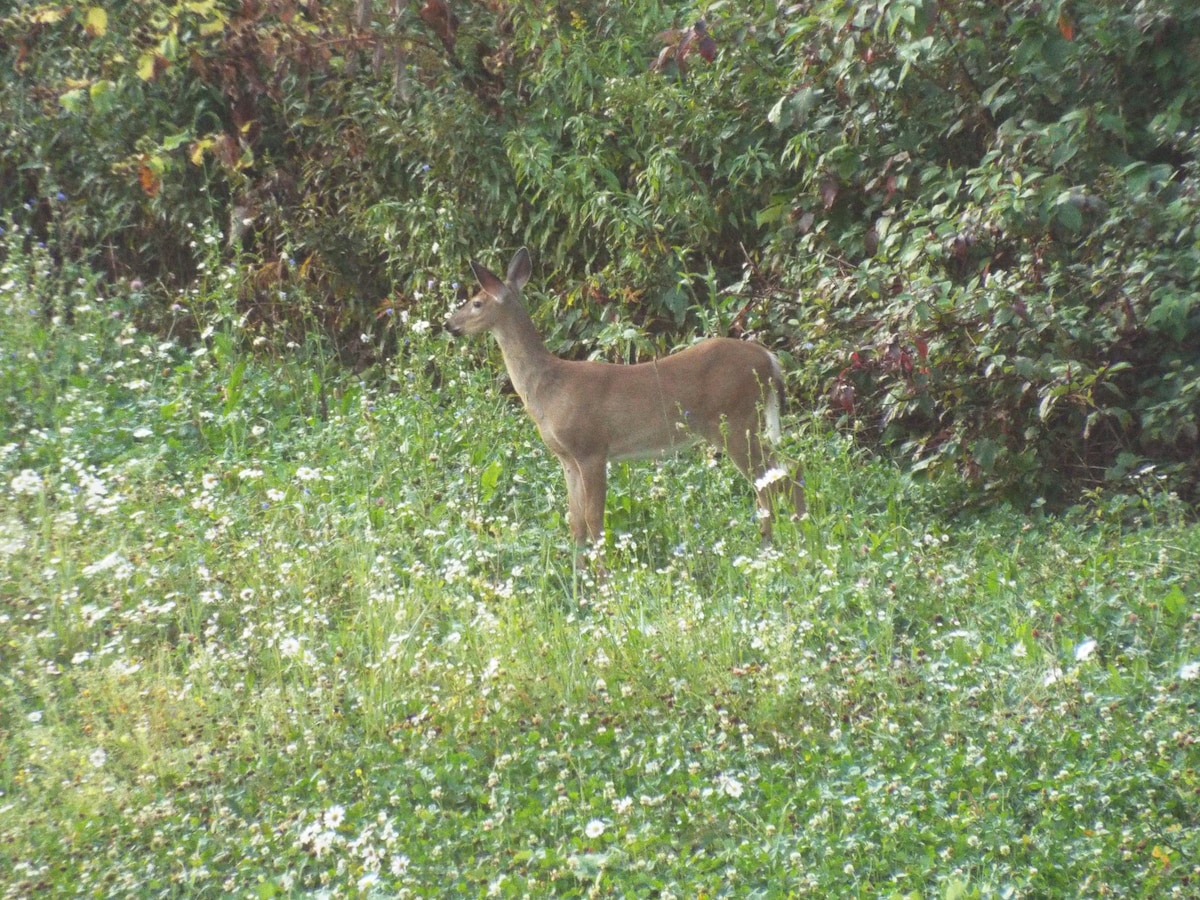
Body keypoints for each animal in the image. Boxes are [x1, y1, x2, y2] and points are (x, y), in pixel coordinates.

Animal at [448, 247, 806, 556]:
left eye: (476, 302)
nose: (449, 324)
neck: (549, 389)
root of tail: (770, 360)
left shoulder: (592, 448)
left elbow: (594, 521)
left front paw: (603, 585)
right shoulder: (567, 458)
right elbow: (575, 524)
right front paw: (580, 588)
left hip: (735, 420)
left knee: (777, 476)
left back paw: (784, 544)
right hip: (747, 421)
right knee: (783, 471)